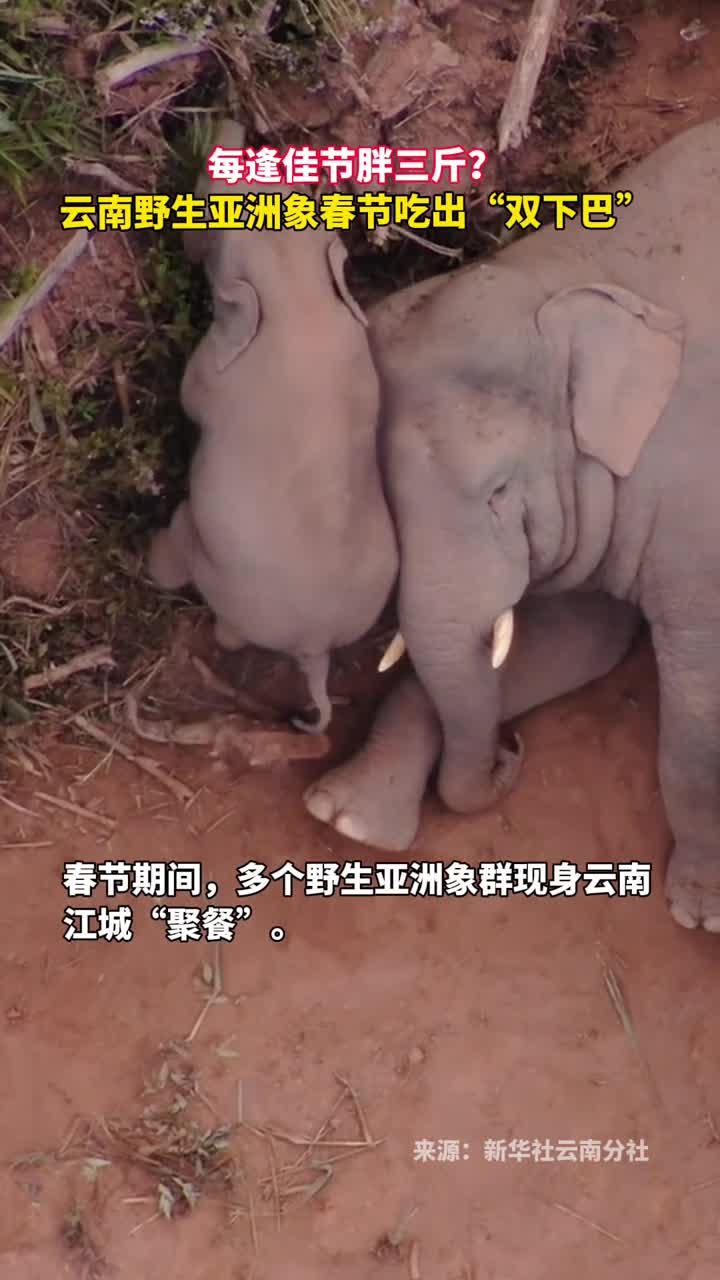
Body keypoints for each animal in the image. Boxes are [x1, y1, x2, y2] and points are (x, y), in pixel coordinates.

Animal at [148, 119, 398, 732]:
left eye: (214, 206)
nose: (231, 128)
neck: (295, 296)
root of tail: (315, 644)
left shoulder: (210, 372)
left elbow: (190, 397)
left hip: (213, 563)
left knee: (211, 605)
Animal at [304, 116, 720, 932]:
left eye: (501, 491)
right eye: (387, 505)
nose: (511, 752)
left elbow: (696, 695)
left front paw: (701, 913)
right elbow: (577, 642)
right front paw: (347, 816)